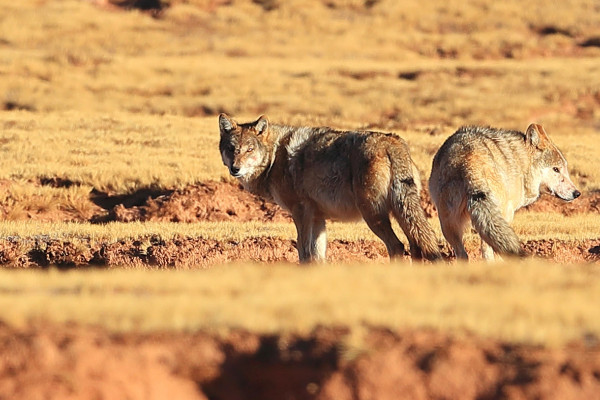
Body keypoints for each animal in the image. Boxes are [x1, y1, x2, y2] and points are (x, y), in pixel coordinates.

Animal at [219, 113, 440, 262]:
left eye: (249, 150)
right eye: (231, 149)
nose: (235, 169)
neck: (275, 157)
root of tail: (392, 142)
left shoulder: (301, 212)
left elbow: (304, 253)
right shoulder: (318, 218)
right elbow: (317, 256)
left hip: (373, 215)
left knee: (397, 246)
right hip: (399, 213)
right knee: (415, 247)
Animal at [428, 122, 580, 260]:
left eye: (564, 169)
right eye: (556, 169)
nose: (577, 193)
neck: (522, 163)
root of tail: (468, 162)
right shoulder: (509, 213)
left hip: (448, 224)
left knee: (463, 253)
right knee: (489, 248)